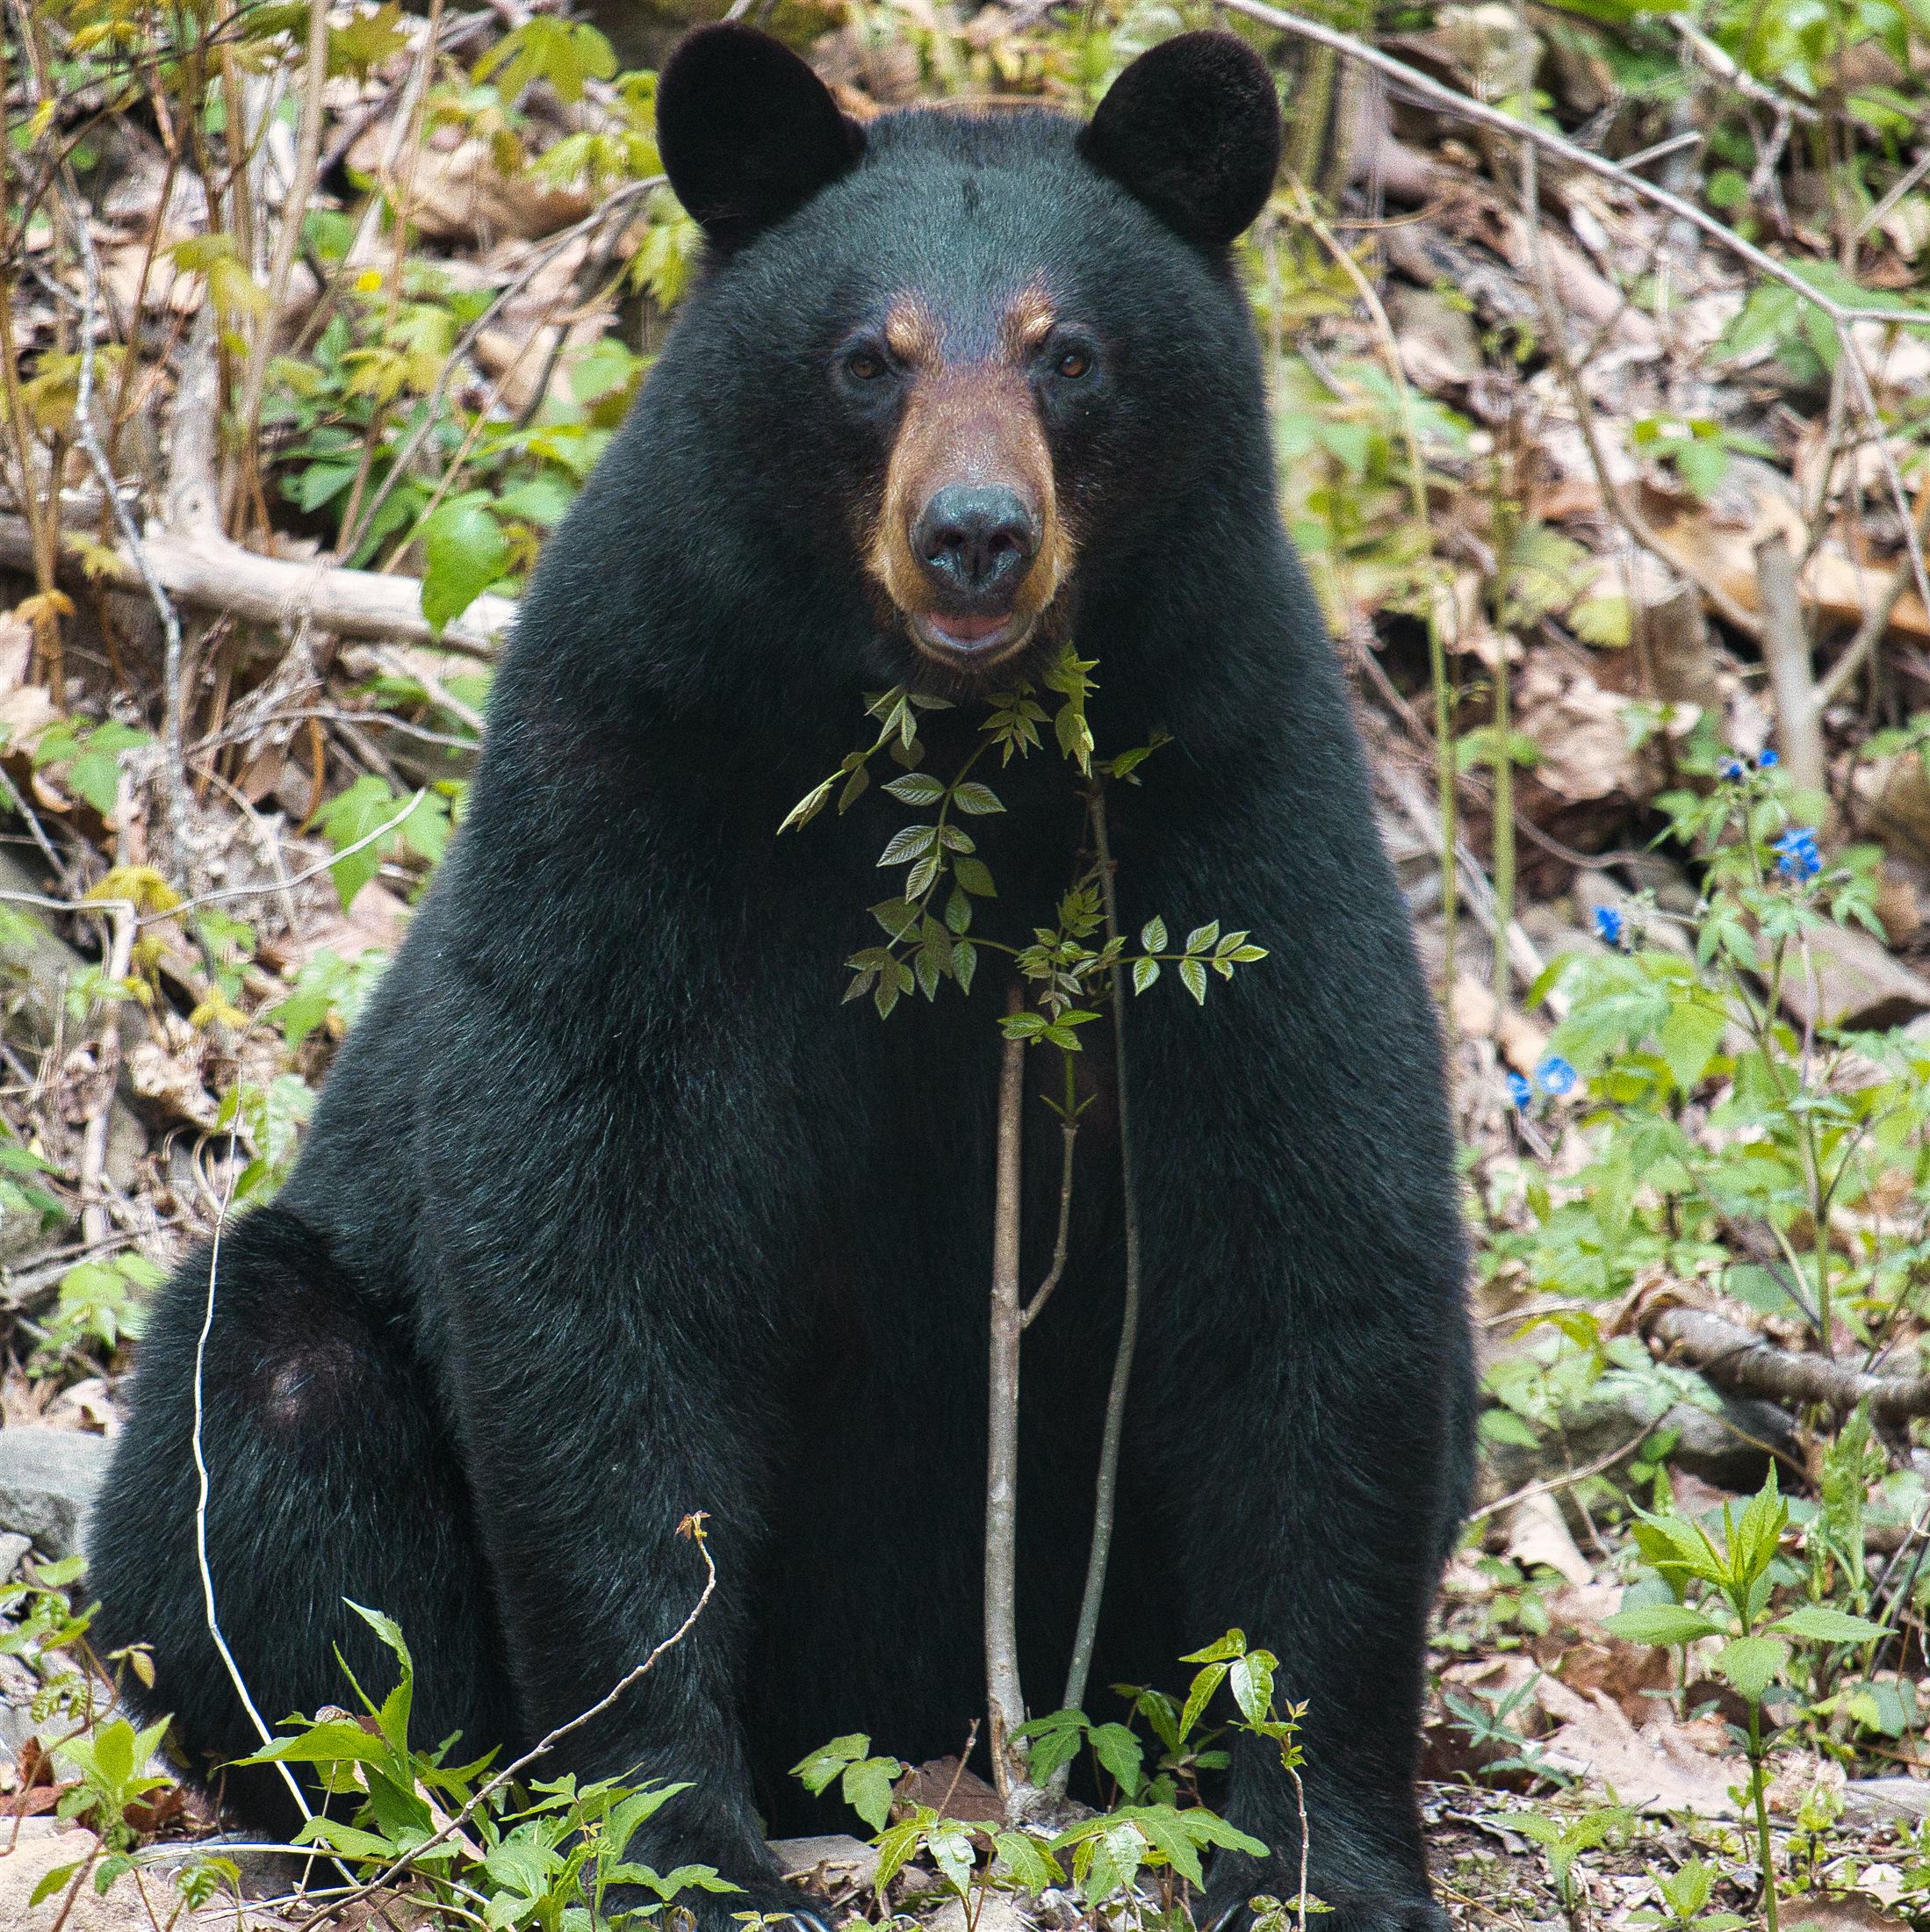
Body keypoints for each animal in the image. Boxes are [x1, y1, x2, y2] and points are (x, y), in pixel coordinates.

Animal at [87, 27, 1475, 1932]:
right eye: (863, 359)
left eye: (1069, 354)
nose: (973, 533)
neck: (945, 757)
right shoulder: (638, 775)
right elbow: (598, 1240)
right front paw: (682, 1843)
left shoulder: (1231, 789)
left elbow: (1317, 1240)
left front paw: (1320, 1857)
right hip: (289, 1395)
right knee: (263, 1426)